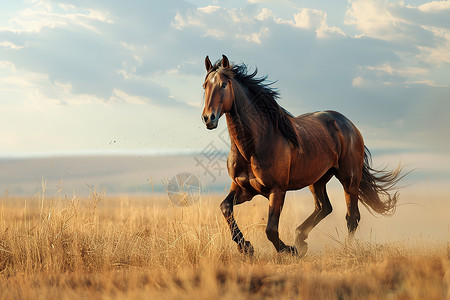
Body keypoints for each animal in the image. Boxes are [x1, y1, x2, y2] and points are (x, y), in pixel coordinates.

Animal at [201, 55, 404, 256]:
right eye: (205, 86)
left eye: (223, 85)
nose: (208, 118)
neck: (253, 147)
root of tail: (349, 125)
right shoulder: (243, 188)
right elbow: (225, 207)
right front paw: (246, 247)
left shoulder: (277, 190)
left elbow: (271, 230)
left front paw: (289, 250)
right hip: (318, 180)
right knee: (324, 207)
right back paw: (301, 238)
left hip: (349, 179)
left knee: (352, 216)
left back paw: (343, 248)